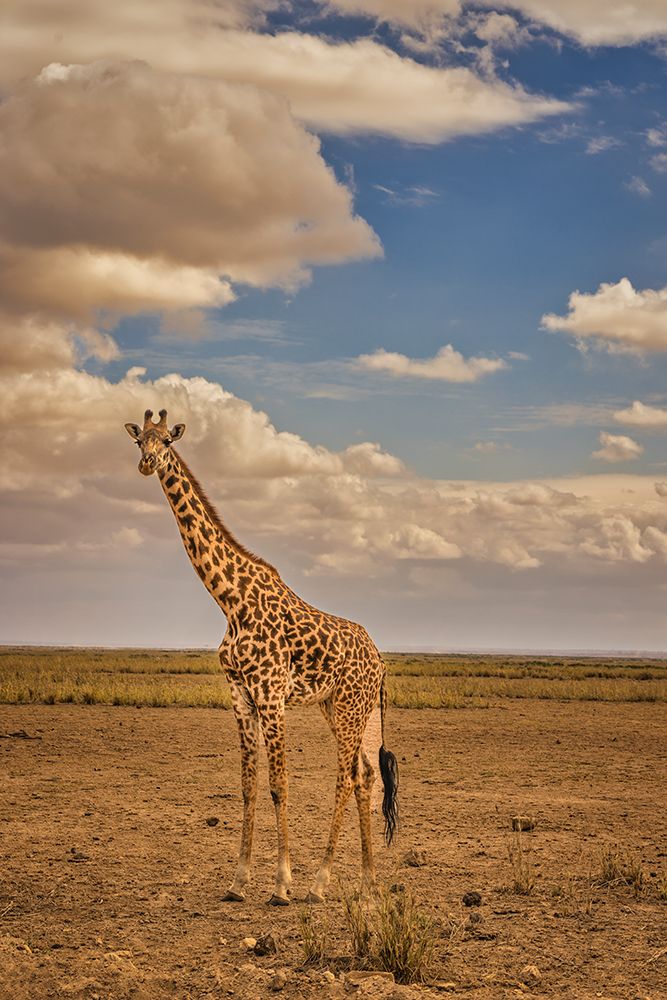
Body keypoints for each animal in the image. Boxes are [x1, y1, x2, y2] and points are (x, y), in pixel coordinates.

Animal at [125, 409, 399, 905]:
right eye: (139, 441)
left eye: (168, 441)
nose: (147, 463)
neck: (229, 600)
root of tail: (380, 661)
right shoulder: (240, 694)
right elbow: (248, 786)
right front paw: (238, 881)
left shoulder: (271, 695)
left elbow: (279, 785)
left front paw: (282, 883)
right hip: (341, 707)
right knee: (366, 774)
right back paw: (368, 881)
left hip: (350, 709)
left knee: (346, 777)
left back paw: (319, 883)